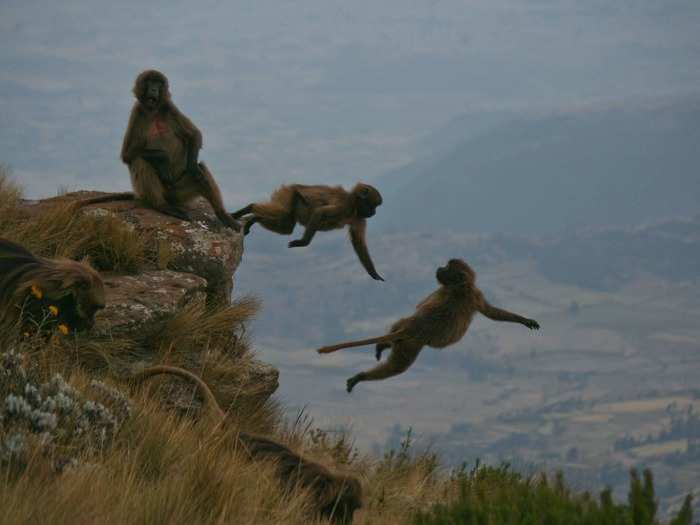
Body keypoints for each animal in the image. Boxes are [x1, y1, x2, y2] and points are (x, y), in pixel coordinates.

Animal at [231, 183, 382, 280]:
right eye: (373, 205)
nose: (374, 213)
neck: (354, 205)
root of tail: (290, 186)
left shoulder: (359, 217)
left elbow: (358, 241)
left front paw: (374, 274)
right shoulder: (344, 206)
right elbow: (320, 212)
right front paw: (303, 242)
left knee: (286, 227)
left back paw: (254, 219)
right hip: (288, 194)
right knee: (281, 214)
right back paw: (249, 209)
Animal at [318, 256, 540, 390]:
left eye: (447, 268)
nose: (439, 267)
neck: (460, 286)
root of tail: (411, 329)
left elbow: (492, 312)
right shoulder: (473, 295)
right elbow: (491, 312)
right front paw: (523, 320)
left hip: (405, 331)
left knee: (399, 329)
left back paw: (381, 347)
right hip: (411, 344)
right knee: (397, 367)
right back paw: (362, 376)